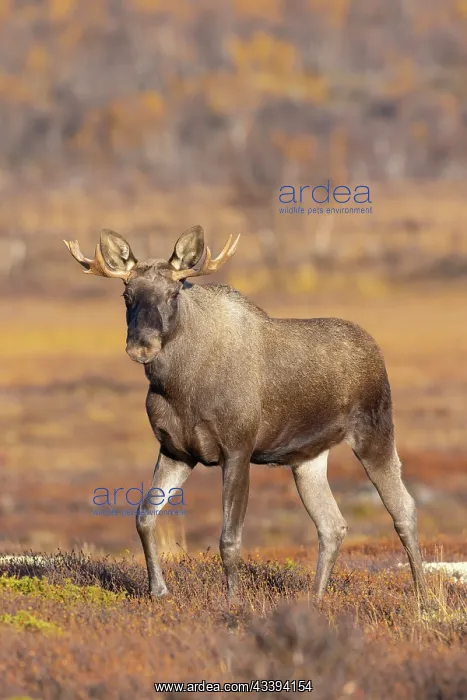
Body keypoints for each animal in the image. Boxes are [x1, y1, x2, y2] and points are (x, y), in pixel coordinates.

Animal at [64, 225, 428, 604]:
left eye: (173, 293)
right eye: (127, 295)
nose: (141, 345)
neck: (180, 387)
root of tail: (375, 349)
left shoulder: (237, 449)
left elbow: (229, 539)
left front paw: (233, 602)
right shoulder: (176, 451)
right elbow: (144, 517)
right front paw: (159, 591)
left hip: (375, 432)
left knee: (404, 508)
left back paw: (424, 597)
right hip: (308, 458)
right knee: (333, 524)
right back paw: (314, 599)